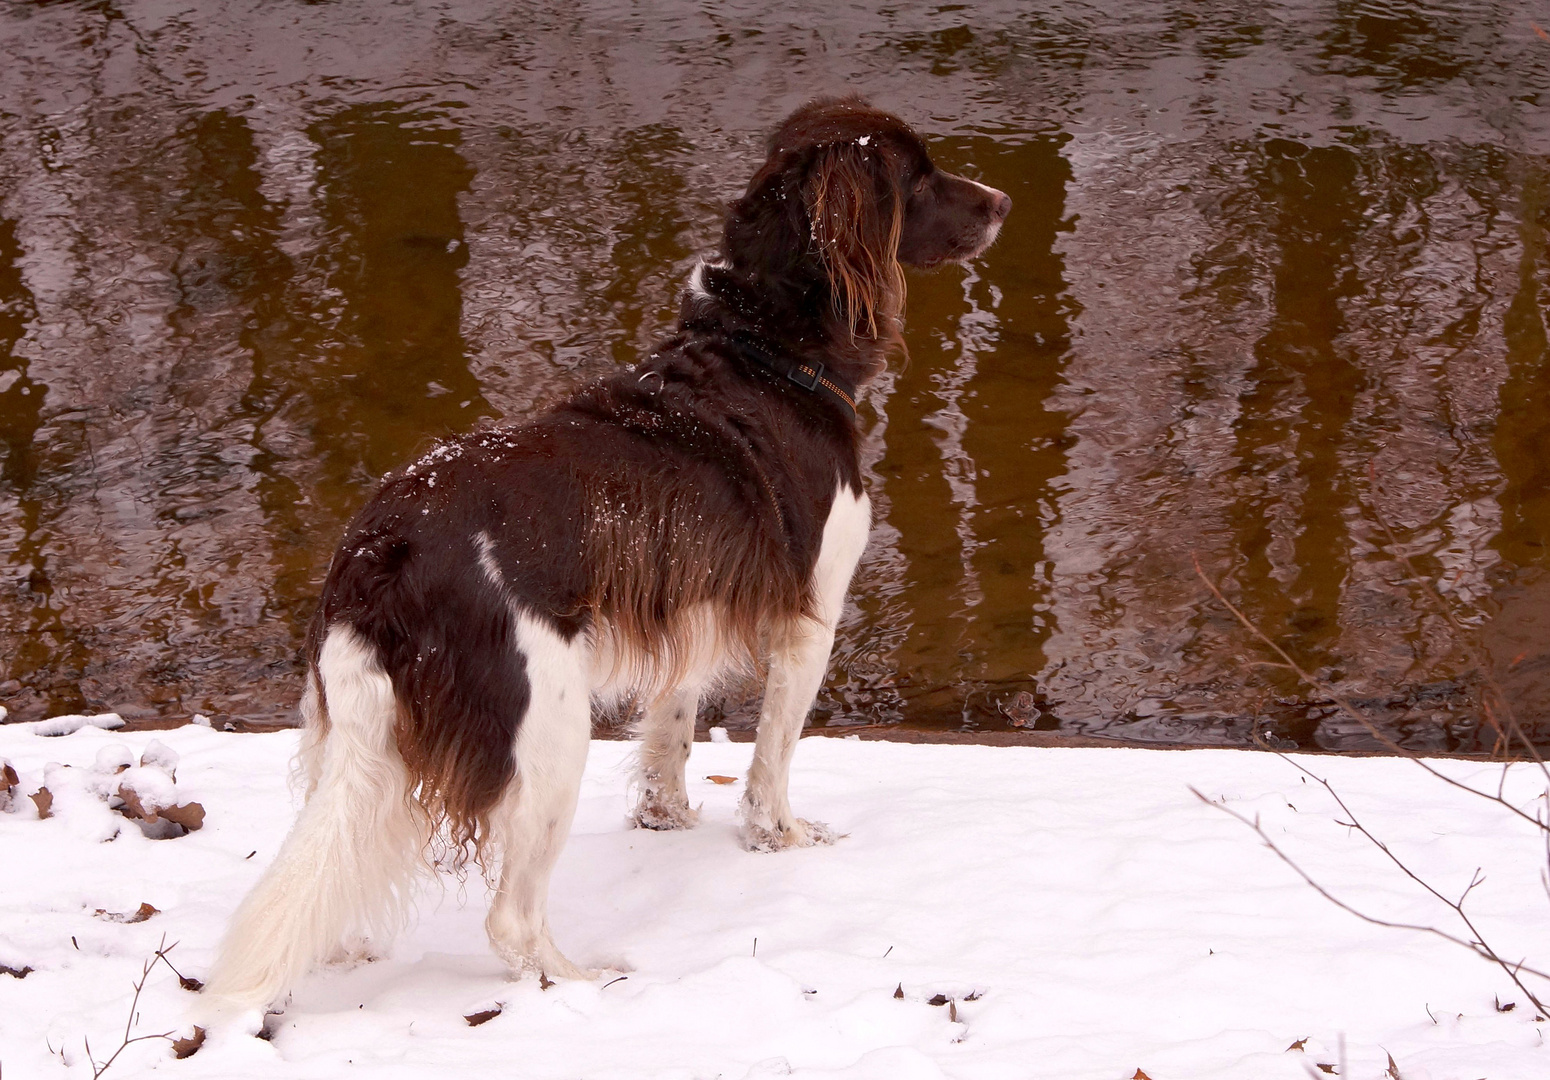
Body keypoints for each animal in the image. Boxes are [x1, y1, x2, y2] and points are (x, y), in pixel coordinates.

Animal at [199, 96, 1010, 1016]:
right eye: (921, 175)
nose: (1004, 202)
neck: (764, 350)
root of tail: (381, 553)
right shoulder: (811, 619)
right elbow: (774, 755)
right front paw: (783, 839)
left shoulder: (689, 602)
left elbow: (672, 730)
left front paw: (668, 823)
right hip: (551, 733)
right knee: (511, 920)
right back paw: (584, 984)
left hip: (352, 735)